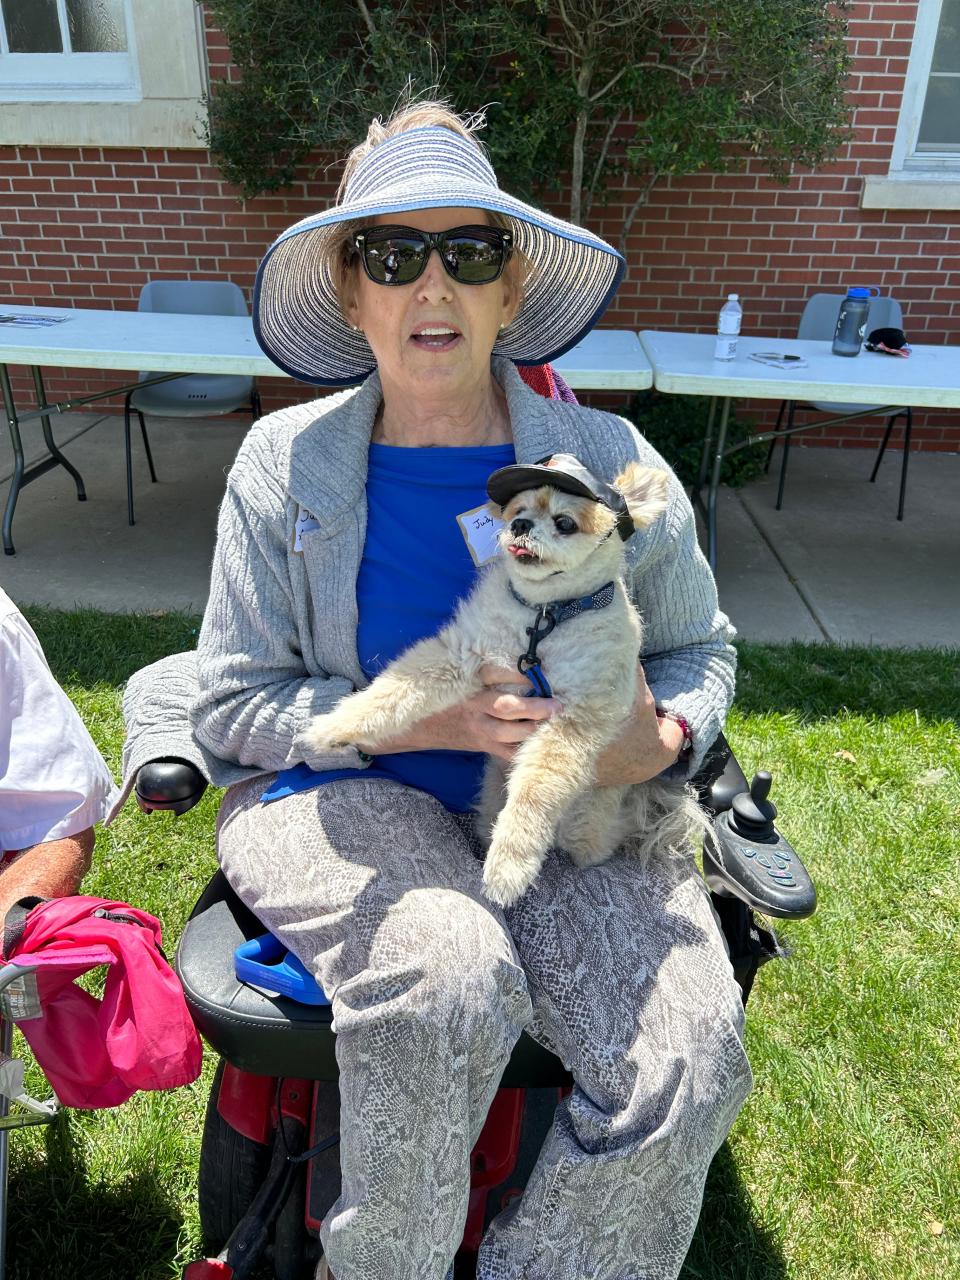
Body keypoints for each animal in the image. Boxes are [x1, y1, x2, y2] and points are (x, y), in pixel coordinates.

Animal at [304, 455, 711, 906]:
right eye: (518, 510)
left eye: (565, 522)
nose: (519, 525)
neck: (543, 617)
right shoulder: (459, 655)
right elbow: (390, 692)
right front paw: (331, 728)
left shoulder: (574, 720)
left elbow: (535, 791)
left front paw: (509, 865)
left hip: (589, 826)